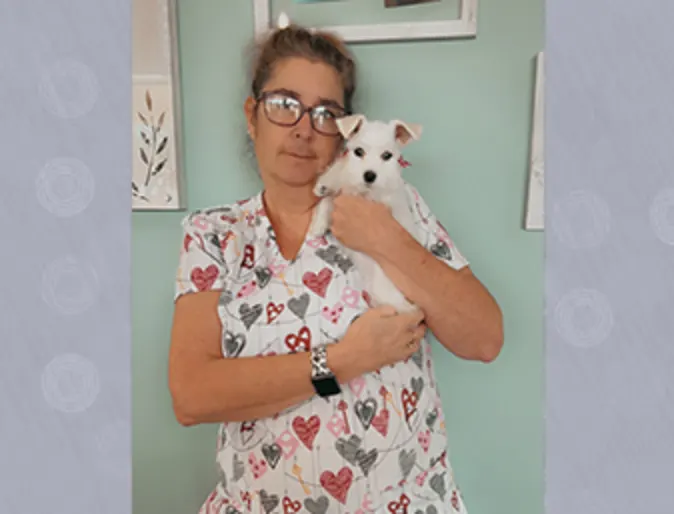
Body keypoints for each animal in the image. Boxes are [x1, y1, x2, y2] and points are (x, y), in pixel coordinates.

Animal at [308, 113, 420, 312]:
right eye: (359, 152)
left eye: (387, 155)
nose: (369, 175)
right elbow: (331, 194)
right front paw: (325, 188)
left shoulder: (374, 198)